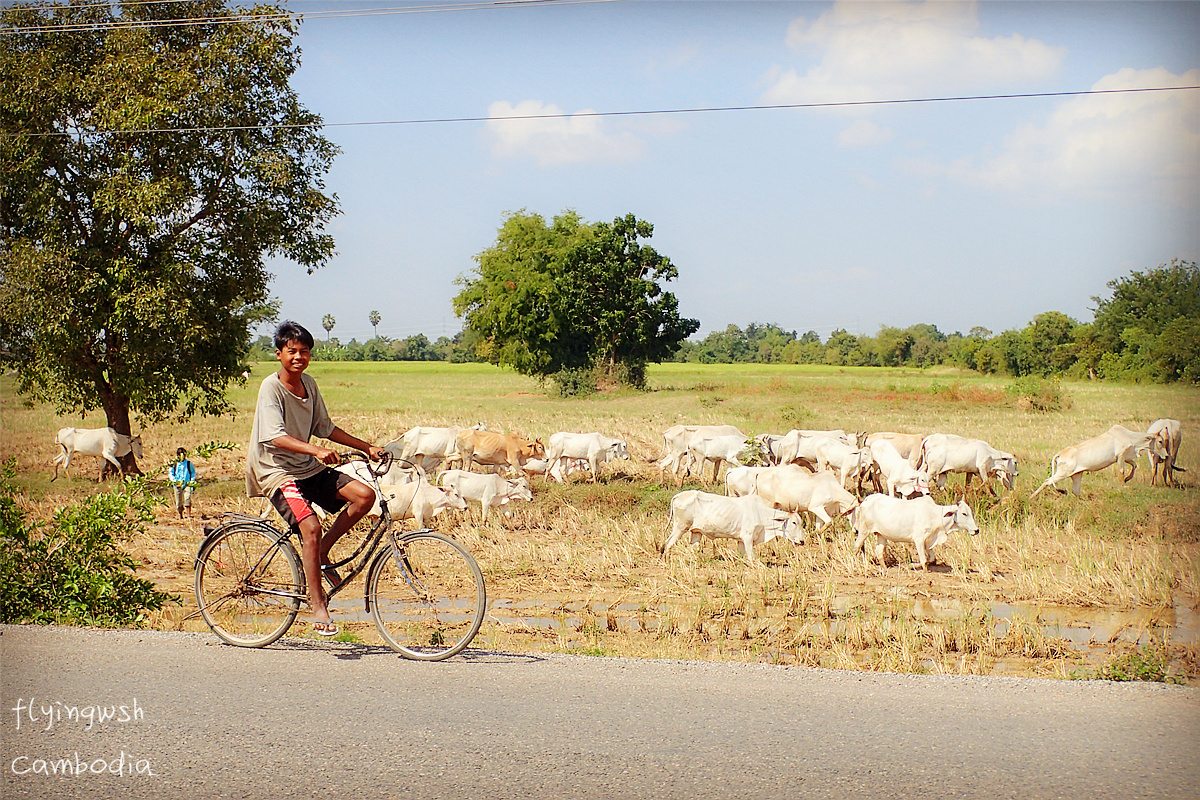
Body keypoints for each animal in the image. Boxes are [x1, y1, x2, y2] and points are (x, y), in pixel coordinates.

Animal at [662, 491, 801, 566]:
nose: (802, 541)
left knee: (692, 548)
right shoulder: (748, 538)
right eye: (794, 522)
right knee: (668, 543)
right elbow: (751, 557)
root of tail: (678, 496)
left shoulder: (741, 540)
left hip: (696, 532)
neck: (760, 513)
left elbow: (740, 556)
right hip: (680, 527)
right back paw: (666, 561)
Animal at [849, 494, 979, 568]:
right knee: (855, 548)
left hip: (881, 535)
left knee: (879, 551)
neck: (935, 515)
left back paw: (885, 569)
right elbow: (923, 560)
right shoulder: (919, 539)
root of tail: (866, 500)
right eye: (964, 513)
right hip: (864, 531)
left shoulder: (928, 541)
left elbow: (931, 559)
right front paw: (911, 566)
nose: (976, 530)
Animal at [1027, 422, 1166, 496]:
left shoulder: (1126, 457)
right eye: (1160, 441)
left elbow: (1134, 466)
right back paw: (1031, 497)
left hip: (1076, 475)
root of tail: (1060, 453)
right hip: (1062, 473)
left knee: (1075, 492)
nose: (1166, 456)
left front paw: (1127, 479)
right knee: (1047, 481)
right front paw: (1123, 484)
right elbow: (1122, 471)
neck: (1131, 437)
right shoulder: (1121, 456)